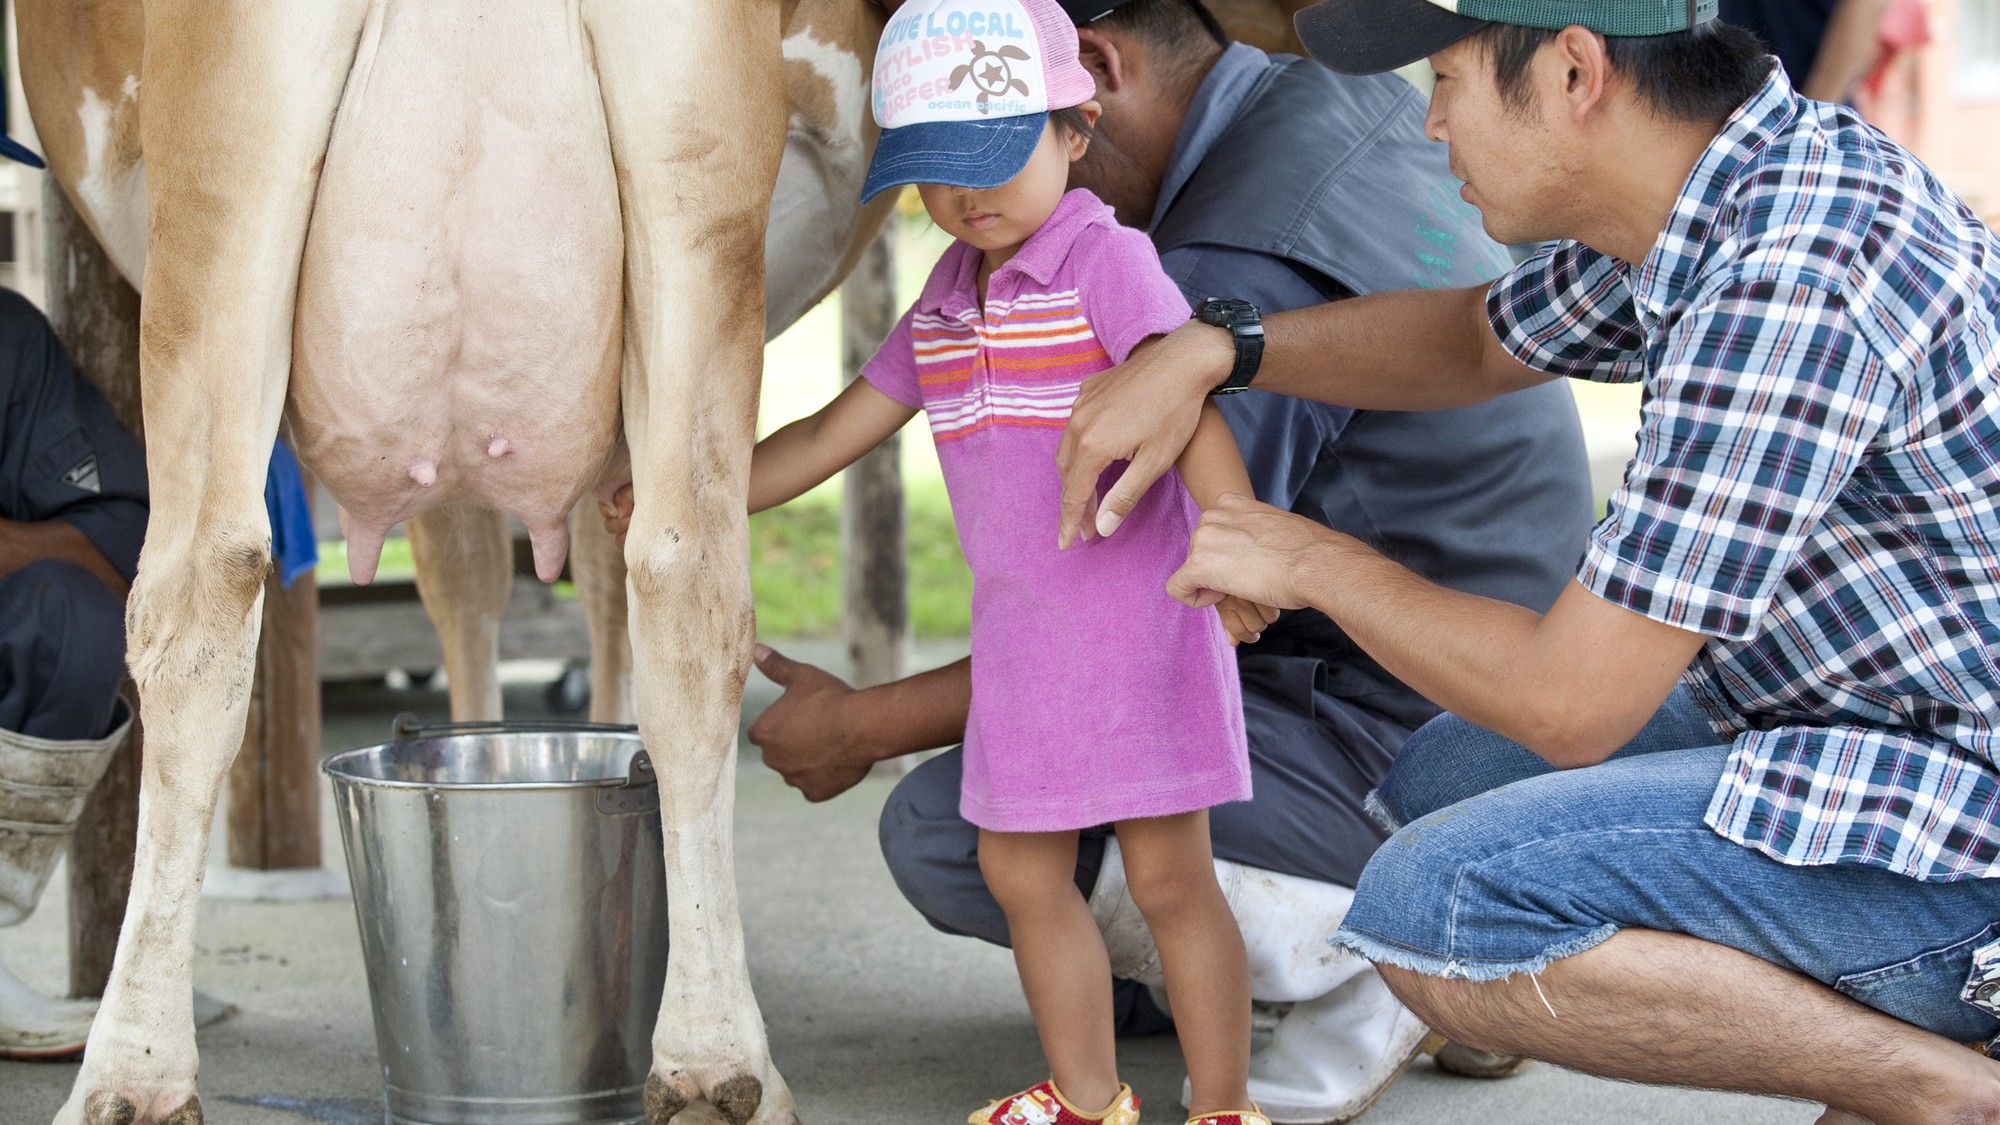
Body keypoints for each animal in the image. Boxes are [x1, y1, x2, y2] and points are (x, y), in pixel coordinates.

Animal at [17, 2, 892, 1120]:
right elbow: (533, 573)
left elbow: (495, 577)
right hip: (692, 178)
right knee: (685, 576)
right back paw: (712, 1055)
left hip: (228, 167)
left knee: (200, 587)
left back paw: (131, 1068)